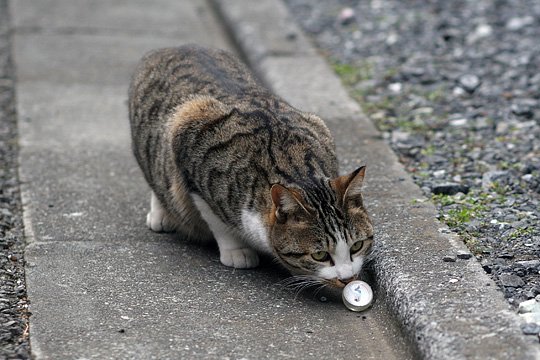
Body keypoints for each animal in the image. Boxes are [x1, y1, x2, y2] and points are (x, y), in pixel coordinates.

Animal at [127, 44, 372, 286]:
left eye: (357, 246)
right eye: (320, 255)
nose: (348, 278)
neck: (298, 171)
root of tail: (174, 47)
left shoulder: (317, 125)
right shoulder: (188, 137)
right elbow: (216, 220)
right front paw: (236, 250)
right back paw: (161, 214)